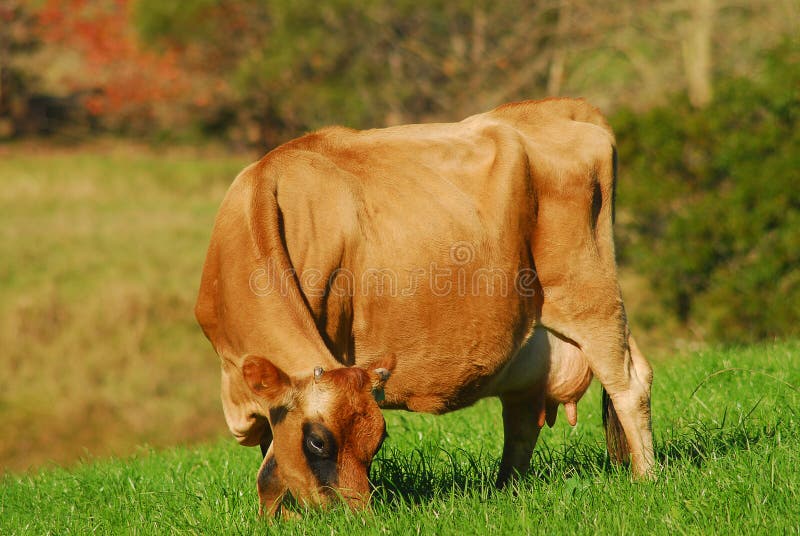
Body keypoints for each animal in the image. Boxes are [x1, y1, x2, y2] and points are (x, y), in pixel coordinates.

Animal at [195, 98, 654, 517]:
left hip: (591, 297)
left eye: (378, 440)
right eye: (318, 441)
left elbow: (274, 463)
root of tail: (563, 106)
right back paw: (505, 491)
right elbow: (272, 461)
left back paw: (646, 478)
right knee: (524, 416)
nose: (357, 517)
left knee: (630, 383)